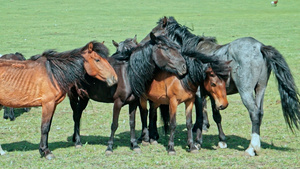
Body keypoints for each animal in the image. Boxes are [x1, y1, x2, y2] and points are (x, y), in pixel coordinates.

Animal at [141, 16, 300, 156]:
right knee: (260, 113)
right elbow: (216, 115)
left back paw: (251, 148)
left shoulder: (198, 94)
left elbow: (200, 116)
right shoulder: (213, 95)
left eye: (154, 33)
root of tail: (260, 47)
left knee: (254, 113)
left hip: (246, 91)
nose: (141, 43)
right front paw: (221, 140)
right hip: (261, 88)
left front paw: (197, 142)